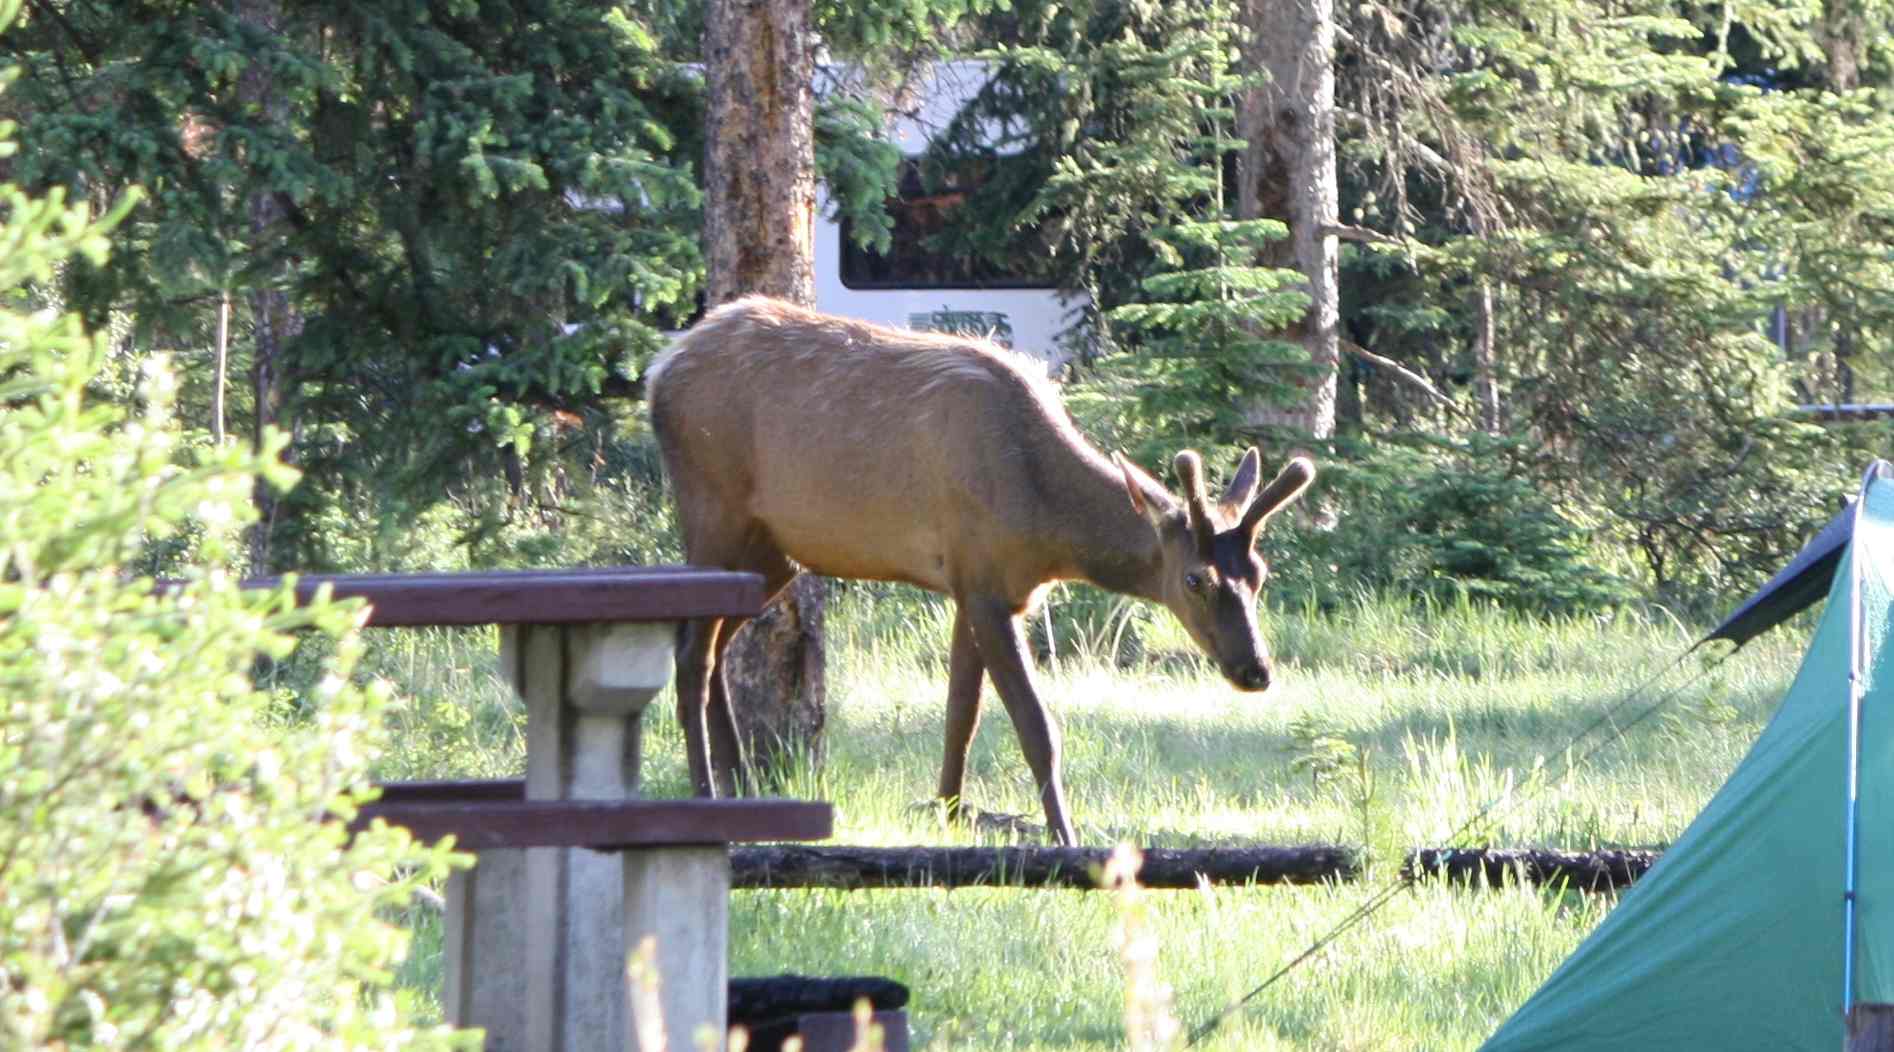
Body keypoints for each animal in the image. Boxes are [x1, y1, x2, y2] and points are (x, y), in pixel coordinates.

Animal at [645, 296, 1316, 846]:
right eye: (1195, 579)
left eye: (1259, 574)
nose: (1255, 670)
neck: (1044, 522)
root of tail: (659, 371)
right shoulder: (986, 583)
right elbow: (1035, 726)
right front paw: (1066, 838)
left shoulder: (973, 586)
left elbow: (960, 714)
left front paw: (947, 810)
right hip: (713, 508)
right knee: (691, 652)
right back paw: (705, 792)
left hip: (774, 550)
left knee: (716, 646)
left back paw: (739, 788)